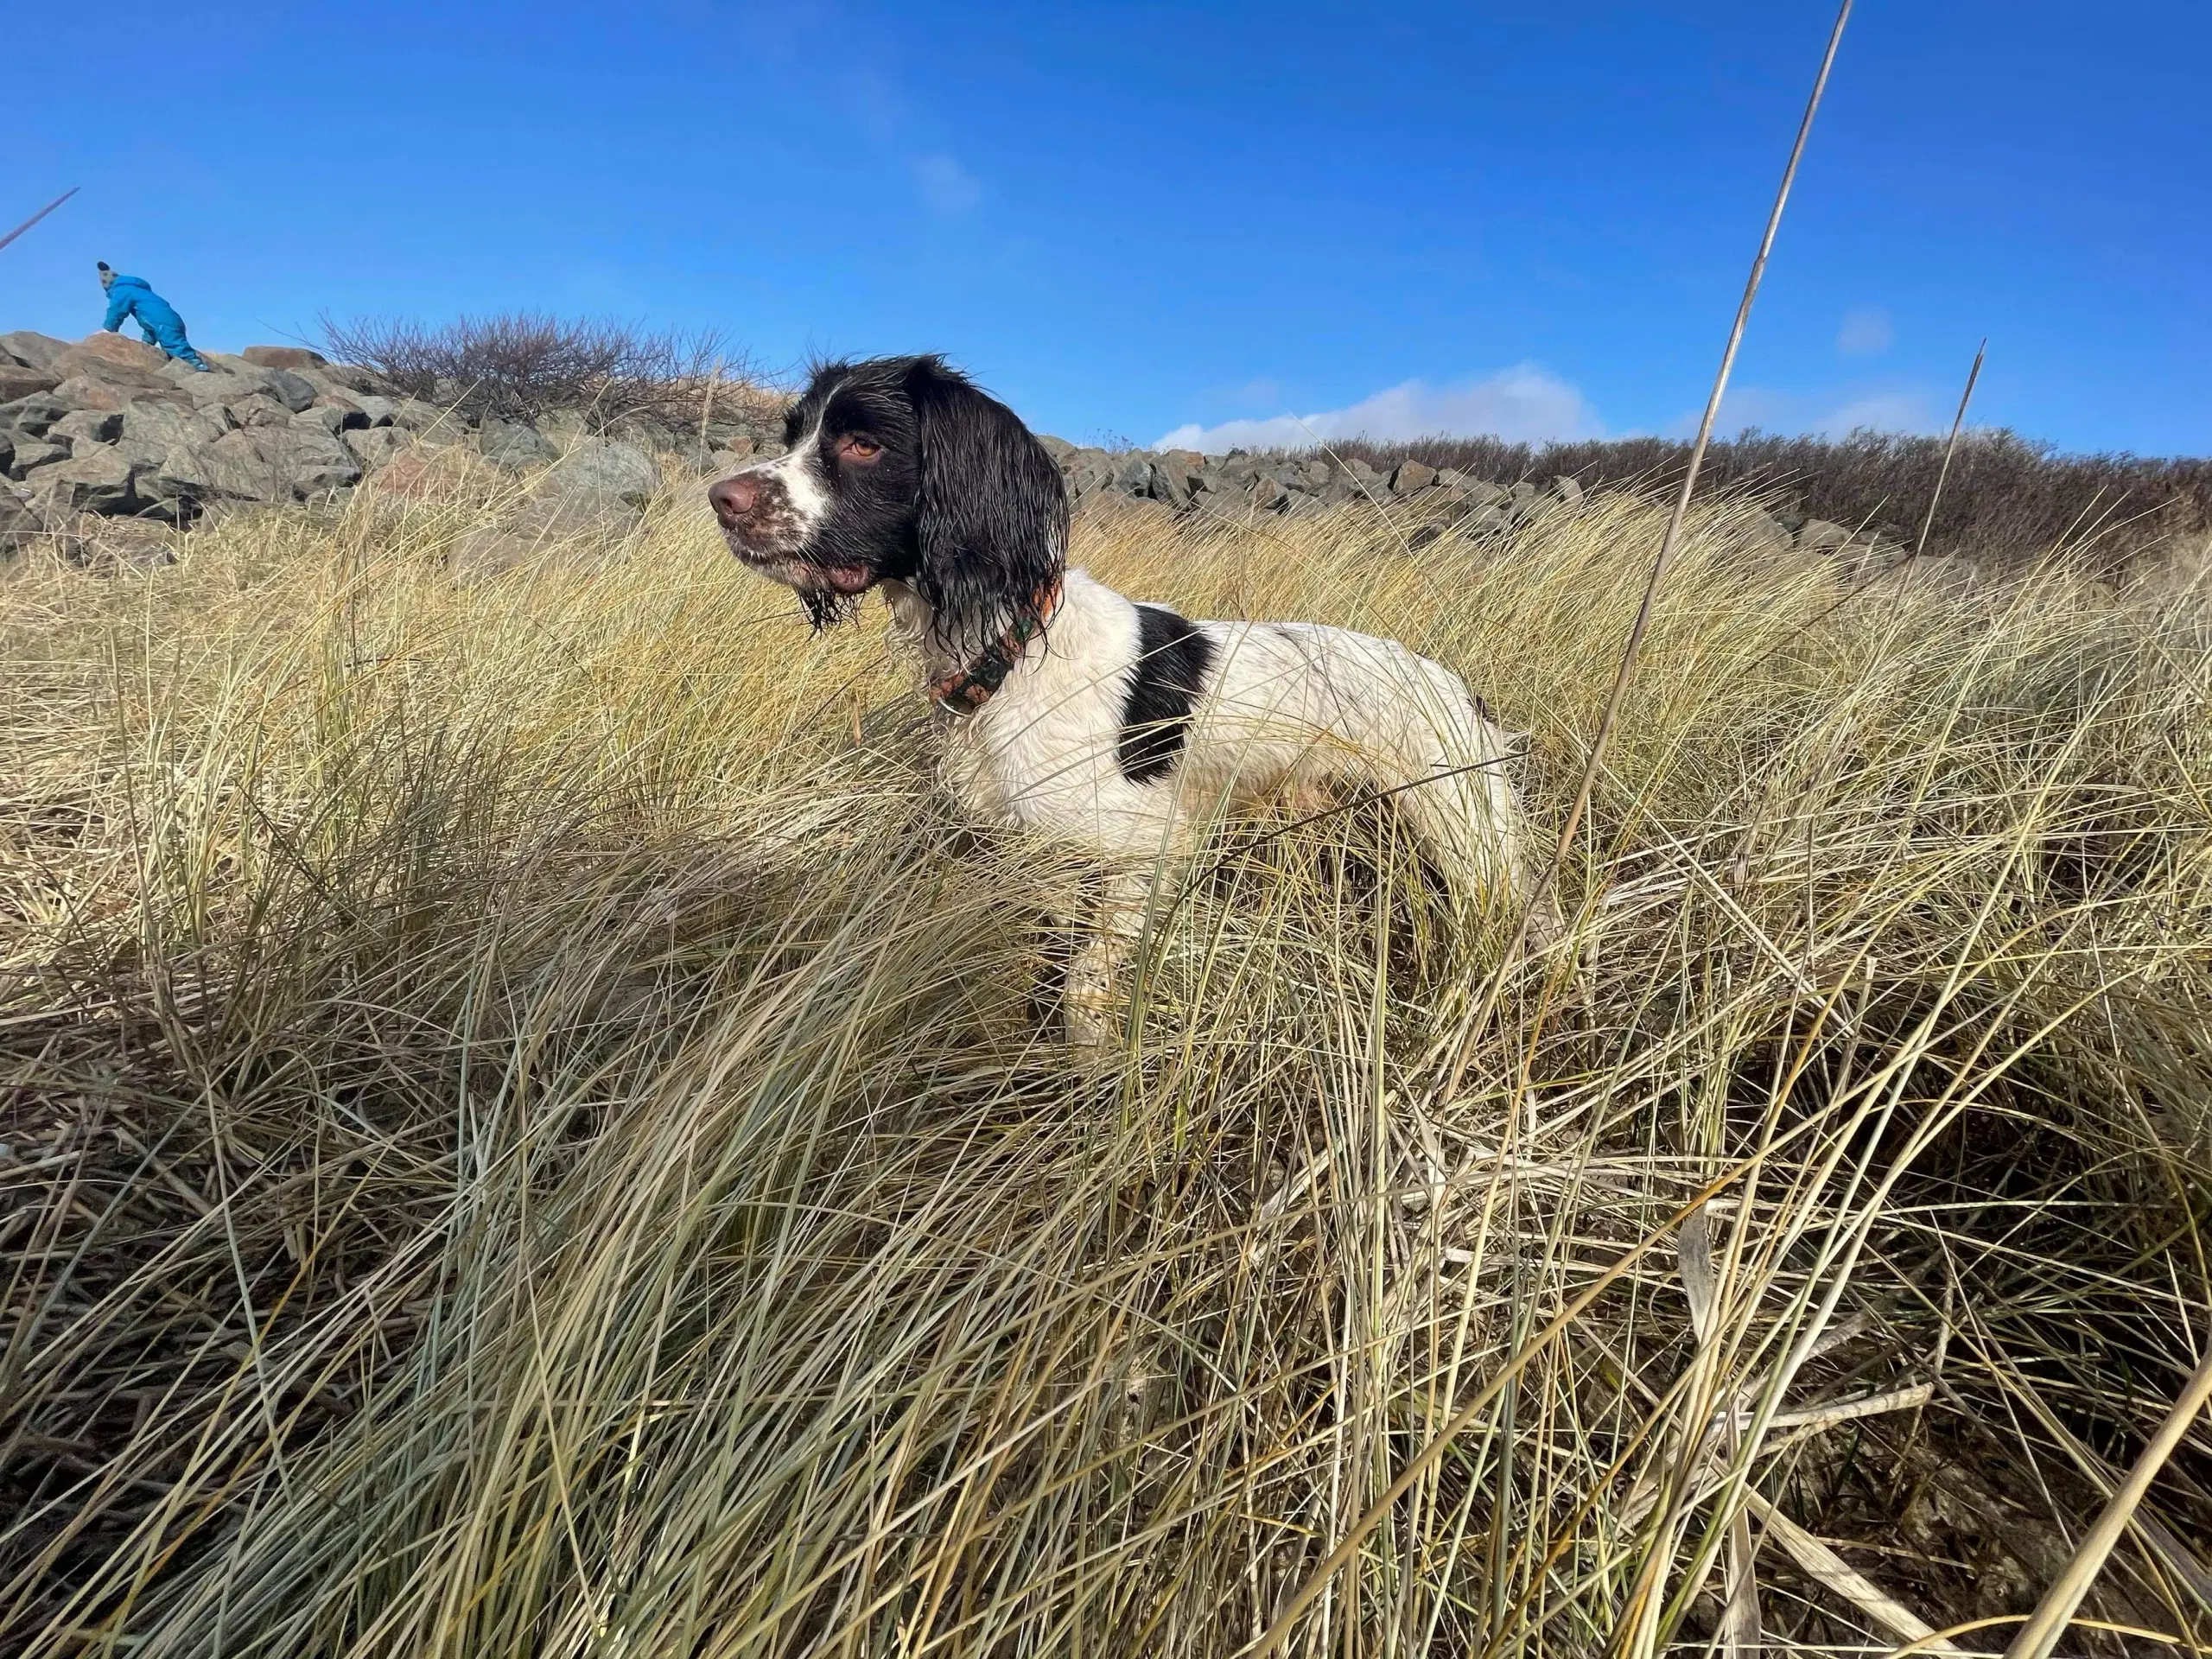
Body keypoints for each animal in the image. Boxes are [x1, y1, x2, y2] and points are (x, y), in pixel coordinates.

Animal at [708, 358, 1539, 1044]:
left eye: (863, 445)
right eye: (795, 433)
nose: (721, 497)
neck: (1009, 654)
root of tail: (1457, 685)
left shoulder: (1147, 849)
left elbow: (1083, 984)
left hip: (1468, 838)